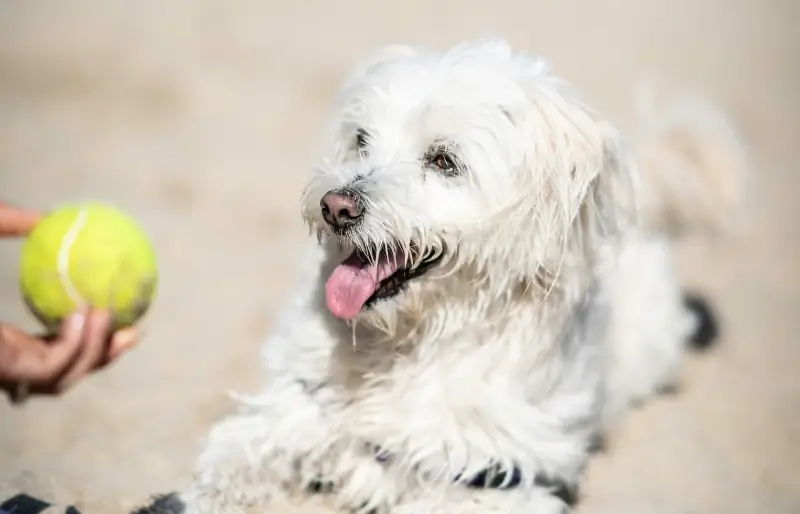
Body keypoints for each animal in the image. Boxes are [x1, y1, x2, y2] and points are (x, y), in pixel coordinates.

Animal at [136, 38, 744, 510]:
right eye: (361, 140)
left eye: (444, 160)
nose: (336, 206)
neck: (403, 346)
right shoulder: (293, 412)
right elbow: (234, 458)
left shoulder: (495, 485)